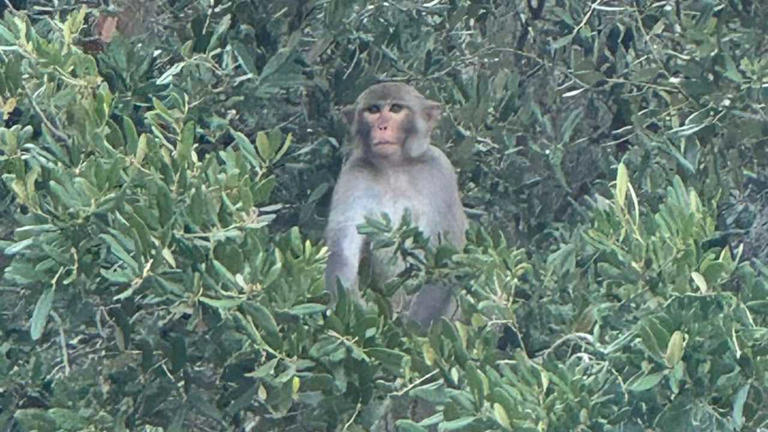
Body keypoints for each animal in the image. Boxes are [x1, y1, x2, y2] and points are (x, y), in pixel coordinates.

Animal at [325, 82, 467, 327]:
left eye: (396, 109)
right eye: (373, 110)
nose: (382, 126)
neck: (395, 167)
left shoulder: (440, 171)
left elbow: (443, 257)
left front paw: (413, 331)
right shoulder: (354, 173)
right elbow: (341, 248)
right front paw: (353, 310)